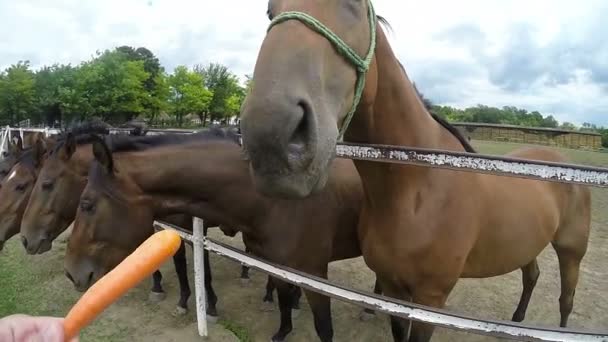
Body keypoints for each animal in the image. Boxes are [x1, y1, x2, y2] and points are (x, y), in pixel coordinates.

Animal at [65, 127, 380, 342]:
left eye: (87, 204)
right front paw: (283, 330)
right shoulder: (279, 267)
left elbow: (324, 328)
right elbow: (282, 299)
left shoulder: (315, 276)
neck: (277, 202)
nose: (71, 273)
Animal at [239, 1, 592, 340]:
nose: (272, 135)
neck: (418, 189)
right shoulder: (393, 289)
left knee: (566, 300)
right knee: (531, 276)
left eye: (352, 2)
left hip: (571, 252)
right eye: (270, 10)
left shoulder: (430, 301)